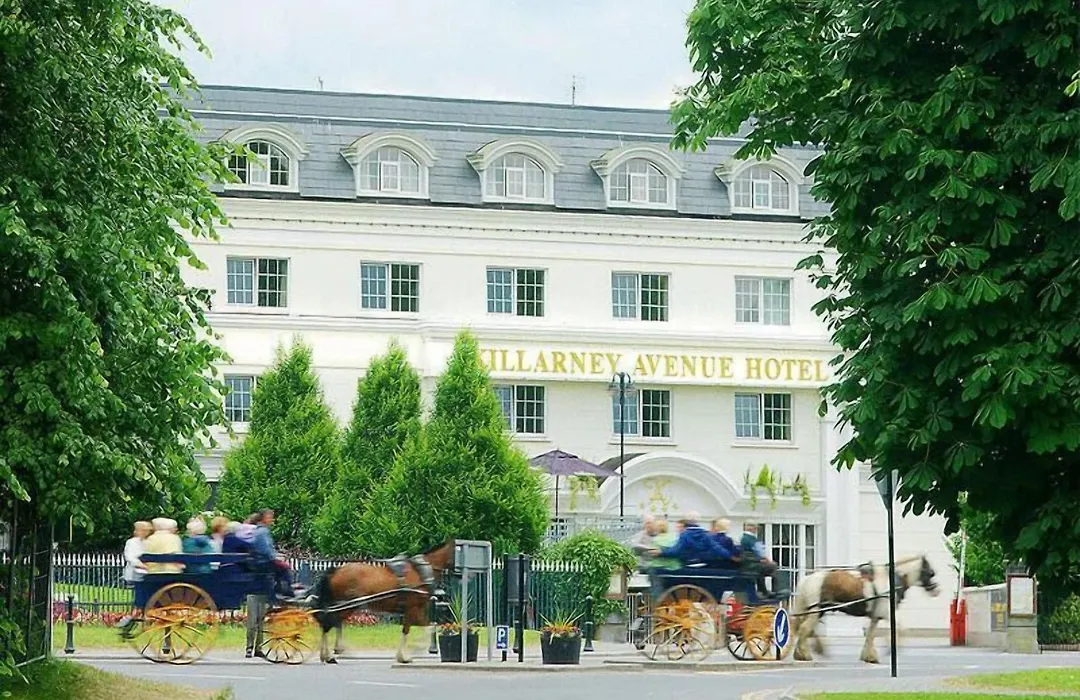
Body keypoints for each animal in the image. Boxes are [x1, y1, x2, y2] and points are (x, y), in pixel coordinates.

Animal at [310, 539, 455, 664]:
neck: (421, 572)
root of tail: (336, 570)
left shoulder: (411, 611)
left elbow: (410, 629)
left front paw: (402, 656)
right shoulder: (413, 609)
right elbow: (428, 627)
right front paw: (414, 651)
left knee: (328, 622)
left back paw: (327, 655)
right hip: (348, 606)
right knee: (328, 623)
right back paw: (329, 656)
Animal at [789, 553, 940, 664]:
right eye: (931, 573)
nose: (936, 591)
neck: (891, 581)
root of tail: (808, 579)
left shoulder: (876, 616)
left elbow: (871, 635)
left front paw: (869, 656)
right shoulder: (887, 613)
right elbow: (900, 628)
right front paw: (890, 648)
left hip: (815, 611)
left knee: (806, 628)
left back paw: (808, 651)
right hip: (817, 610)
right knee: (804, 628)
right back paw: (805, 654)